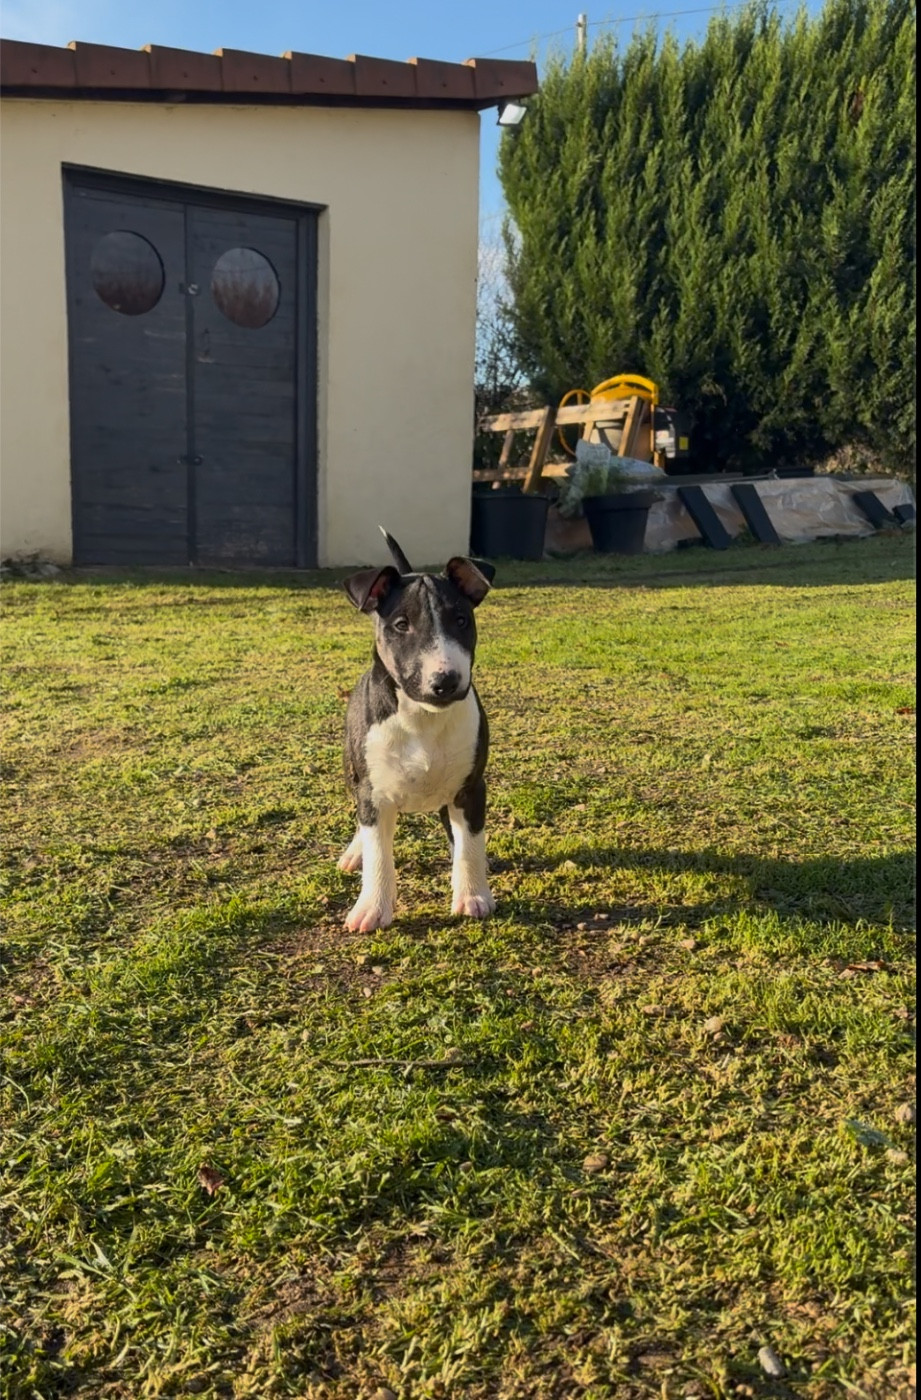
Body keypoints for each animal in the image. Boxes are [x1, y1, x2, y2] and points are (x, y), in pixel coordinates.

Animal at [338, 529, 496, 933]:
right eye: (400, 624)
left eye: (461, 620)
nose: (446, 681)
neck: (422, 717)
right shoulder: (372, 791)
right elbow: (378, 851)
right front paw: (372, 907)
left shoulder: (472, 788)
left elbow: (470, 844)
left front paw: (472, 894)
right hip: (352, 771)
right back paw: (354, 852)